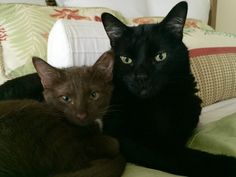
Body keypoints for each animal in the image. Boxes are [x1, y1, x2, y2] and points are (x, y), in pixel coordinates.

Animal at [1, 1, 236, 176]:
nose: (141, 77)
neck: (162, 103)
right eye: (126, 59)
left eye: (160, 56)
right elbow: (185, 156)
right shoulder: (132, 141)